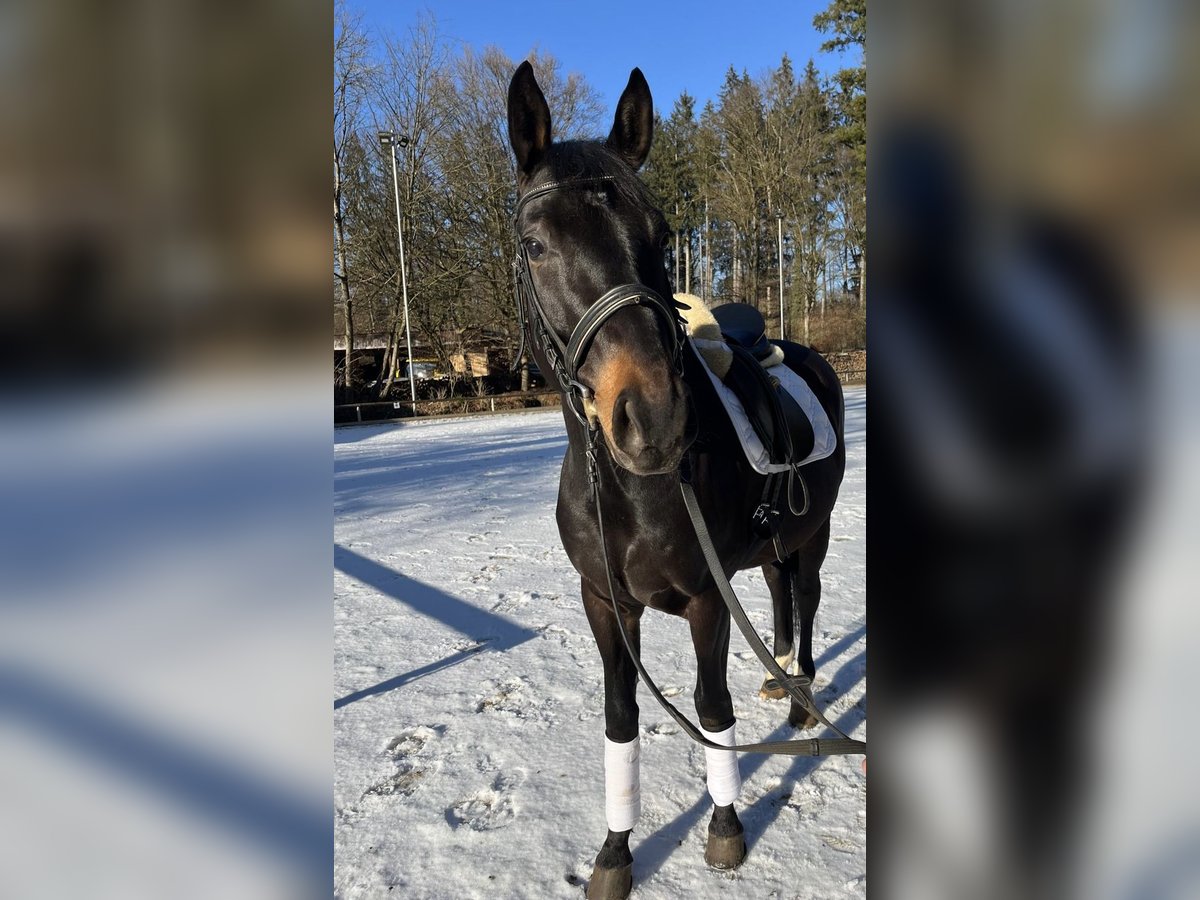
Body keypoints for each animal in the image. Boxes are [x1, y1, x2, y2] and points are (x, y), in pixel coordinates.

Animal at [506, 63, 854, 900]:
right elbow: (620, 718)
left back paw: (801, 698)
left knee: (807, 597)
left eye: (662, 236)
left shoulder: (704, 599)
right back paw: (781, 678)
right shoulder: (605, 603)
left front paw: (725, 829)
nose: (653, 418)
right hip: (767, 549)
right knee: (778, 591)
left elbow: (710, 706)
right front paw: (615, 852)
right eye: (534, 245)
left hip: (816, 532)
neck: (630, 492)